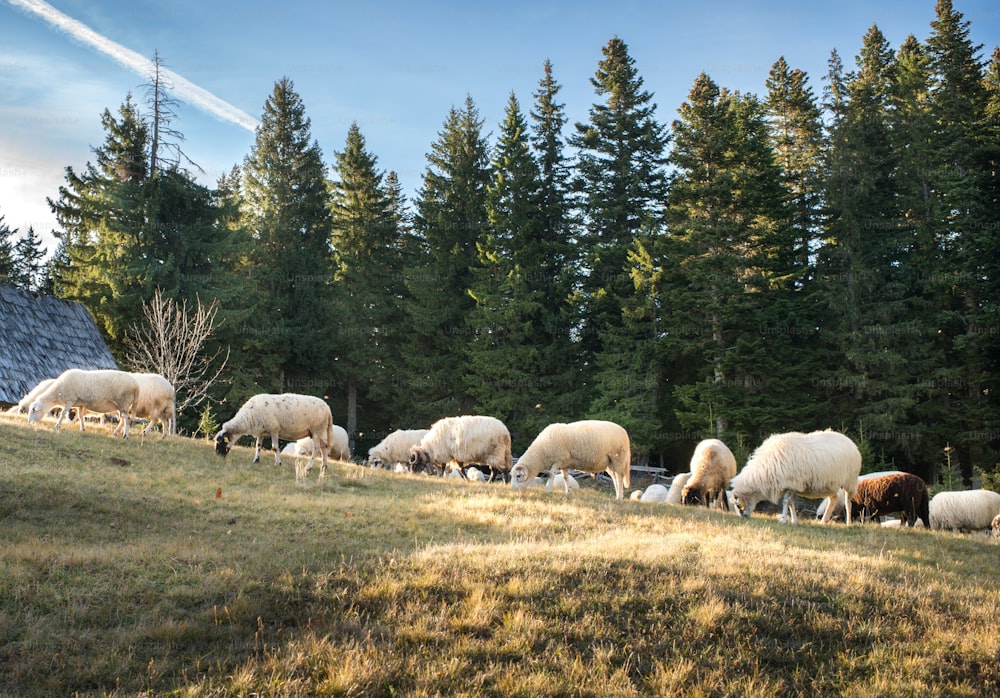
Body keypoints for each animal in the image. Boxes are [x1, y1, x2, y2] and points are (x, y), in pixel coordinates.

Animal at [732, 426, 864, 524]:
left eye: (738, 505)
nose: (744, 517)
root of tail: (849, 440)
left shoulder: (791, 483)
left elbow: (786, 502)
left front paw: (783, 520)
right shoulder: (790, 486)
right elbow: (791, 504)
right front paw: (794, 521)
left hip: (850, 481)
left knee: (848, 502)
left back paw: (848, 523)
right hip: (830, 484)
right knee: (834, 498)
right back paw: (824, 521)